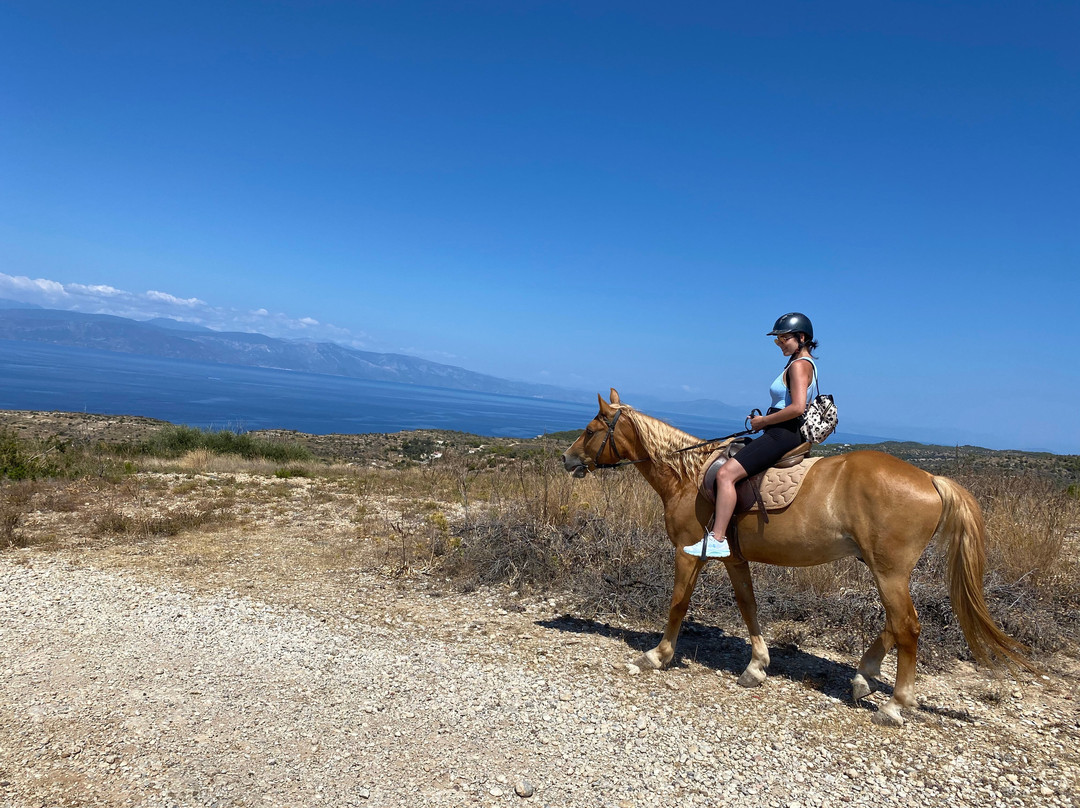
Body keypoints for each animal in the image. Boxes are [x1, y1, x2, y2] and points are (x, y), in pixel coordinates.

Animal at [561, 389, 1032, 726]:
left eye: (591, 428)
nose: (567, 459)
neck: (690, 477)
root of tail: (930, 478)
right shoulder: (734, 559)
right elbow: (748, 605)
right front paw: (757, 666)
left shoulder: (688, 553)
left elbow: (678, 603)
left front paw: (657, 656)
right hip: (883, 569)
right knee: (895, 624)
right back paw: (863, 677)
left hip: (890, 571)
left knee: (908, 627)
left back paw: (894, 705)